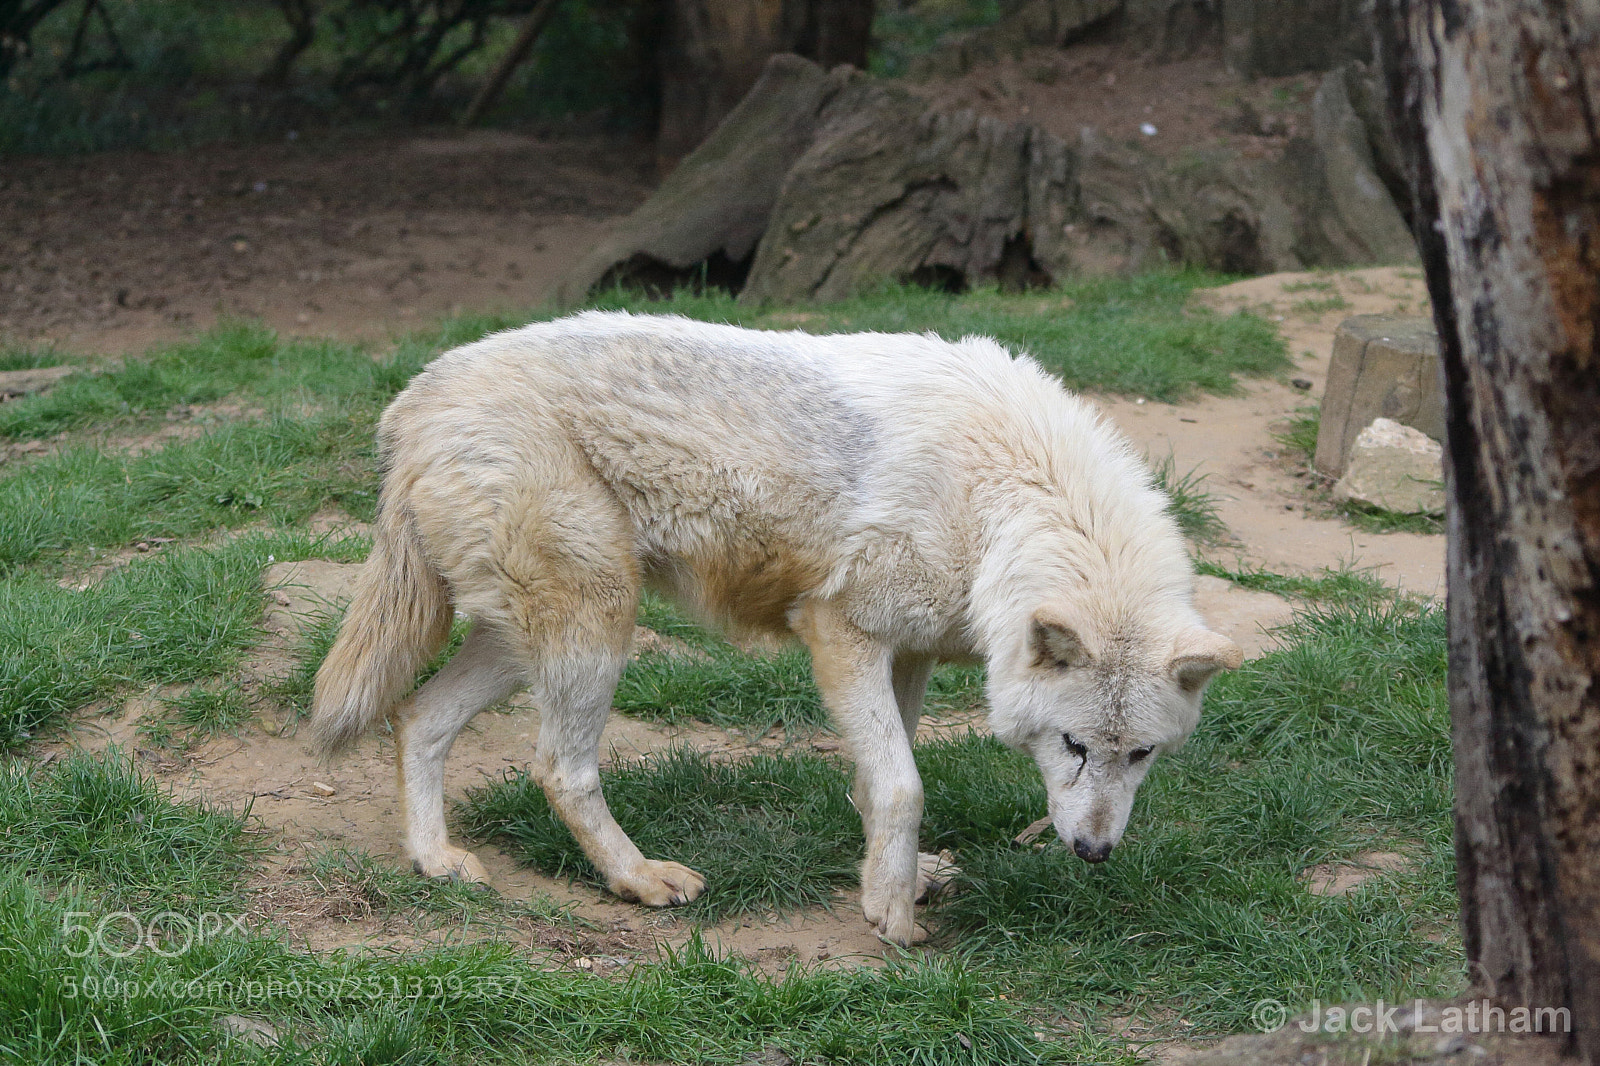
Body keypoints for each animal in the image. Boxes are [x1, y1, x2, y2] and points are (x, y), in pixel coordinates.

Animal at [309, 310, 1241, 945]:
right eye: (1074, 745)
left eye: (1141, 755)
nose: (1093, 853)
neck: (1003, 499)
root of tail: (414, 400)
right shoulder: (840, 633)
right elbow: (904, 785)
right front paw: (893, 918)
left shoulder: (907, 654)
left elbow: (879, 781)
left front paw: (897, 881)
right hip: (598, 631)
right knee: (559, 770)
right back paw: (638, 879)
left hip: (526, 639)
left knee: (417, 719)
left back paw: (435, 861)